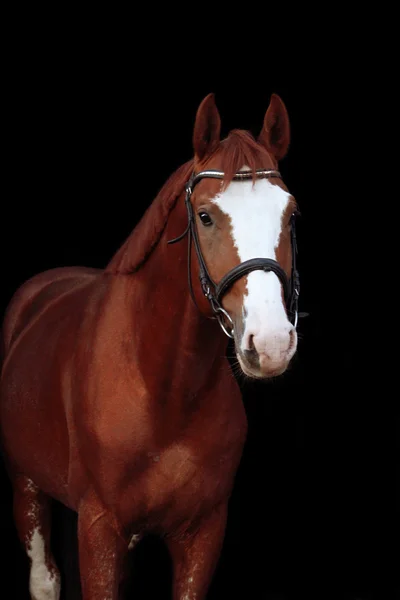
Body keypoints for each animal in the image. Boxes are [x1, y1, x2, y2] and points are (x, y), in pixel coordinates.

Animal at [0, 91, 300, 596]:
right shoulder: (98, 530)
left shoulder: (203, 533)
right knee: (44, 577)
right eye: (205, 216)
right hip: (27, 484)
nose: (272, 342)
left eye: (291, 214)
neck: (164, 393)